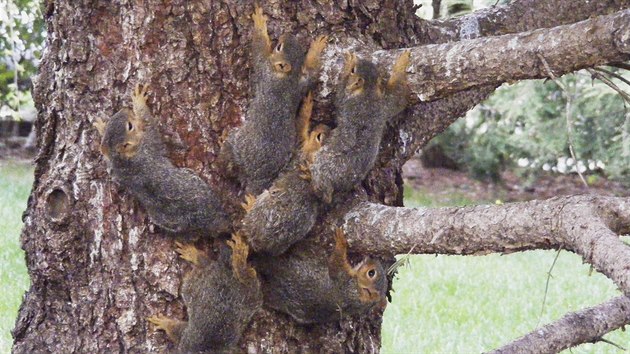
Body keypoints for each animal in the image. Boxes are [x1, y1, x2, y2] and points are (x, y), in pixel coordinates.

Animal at [94, 83, 232, 238]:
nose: (125, 109)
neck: (122, 157)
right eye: (130, 126)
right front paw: (139, 100)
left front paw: (101, 128)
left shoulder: (115, 169)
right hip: (197, 182)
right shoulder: (149, 141)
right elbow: (148, 121)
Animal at [220, 4, 328, 195]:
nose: (287, 34)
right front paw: (317, 46)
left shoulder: (264, 68)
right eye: (301, 51)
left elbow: (258, 47)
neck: (286, 76)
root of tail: (257, 176)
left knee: (228, 162)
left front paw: (259, 21)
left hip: (237, 146)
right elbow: (313, 73)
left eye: (278, 47)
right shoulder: (301, 82)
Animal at [241, 92, 334, 256]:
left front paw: (307, 107)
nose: (323, 125)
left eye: (319, 136)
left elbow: (300, 125)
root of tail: (261, 242)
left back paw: (250, 203)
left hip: (263, 203)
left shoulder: (299, 149)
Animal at [254, 228, 388, 324]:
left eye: (371, 273)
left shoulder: (343, 279)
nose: (373, 256)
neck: (358, 295)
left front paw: (341, 242)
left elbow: (336, 263)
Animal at [308, 51, 412, 203]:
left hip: (322, 165)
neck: (367, 92)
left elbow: (339, 94)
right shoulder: (384, 104)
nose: (358, 59)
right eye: (377, 71)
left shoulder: (347, 99)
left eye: (353, 70)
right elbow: (398, 98)